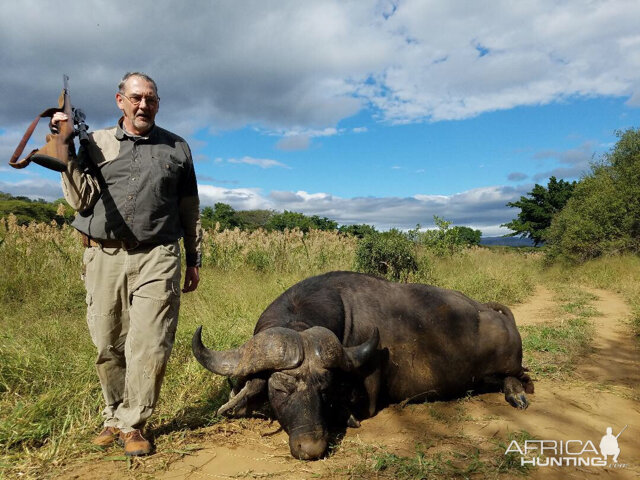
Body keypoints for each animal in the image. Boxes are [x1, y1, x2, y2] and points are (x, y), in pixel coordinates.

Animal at [192, 272, 532, 460]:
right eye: (281, 389)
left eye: (325, 390)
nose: (312, 448)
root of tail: (490, 311)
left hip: (510, 366)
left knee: (516, 376)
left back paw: (516, 395)